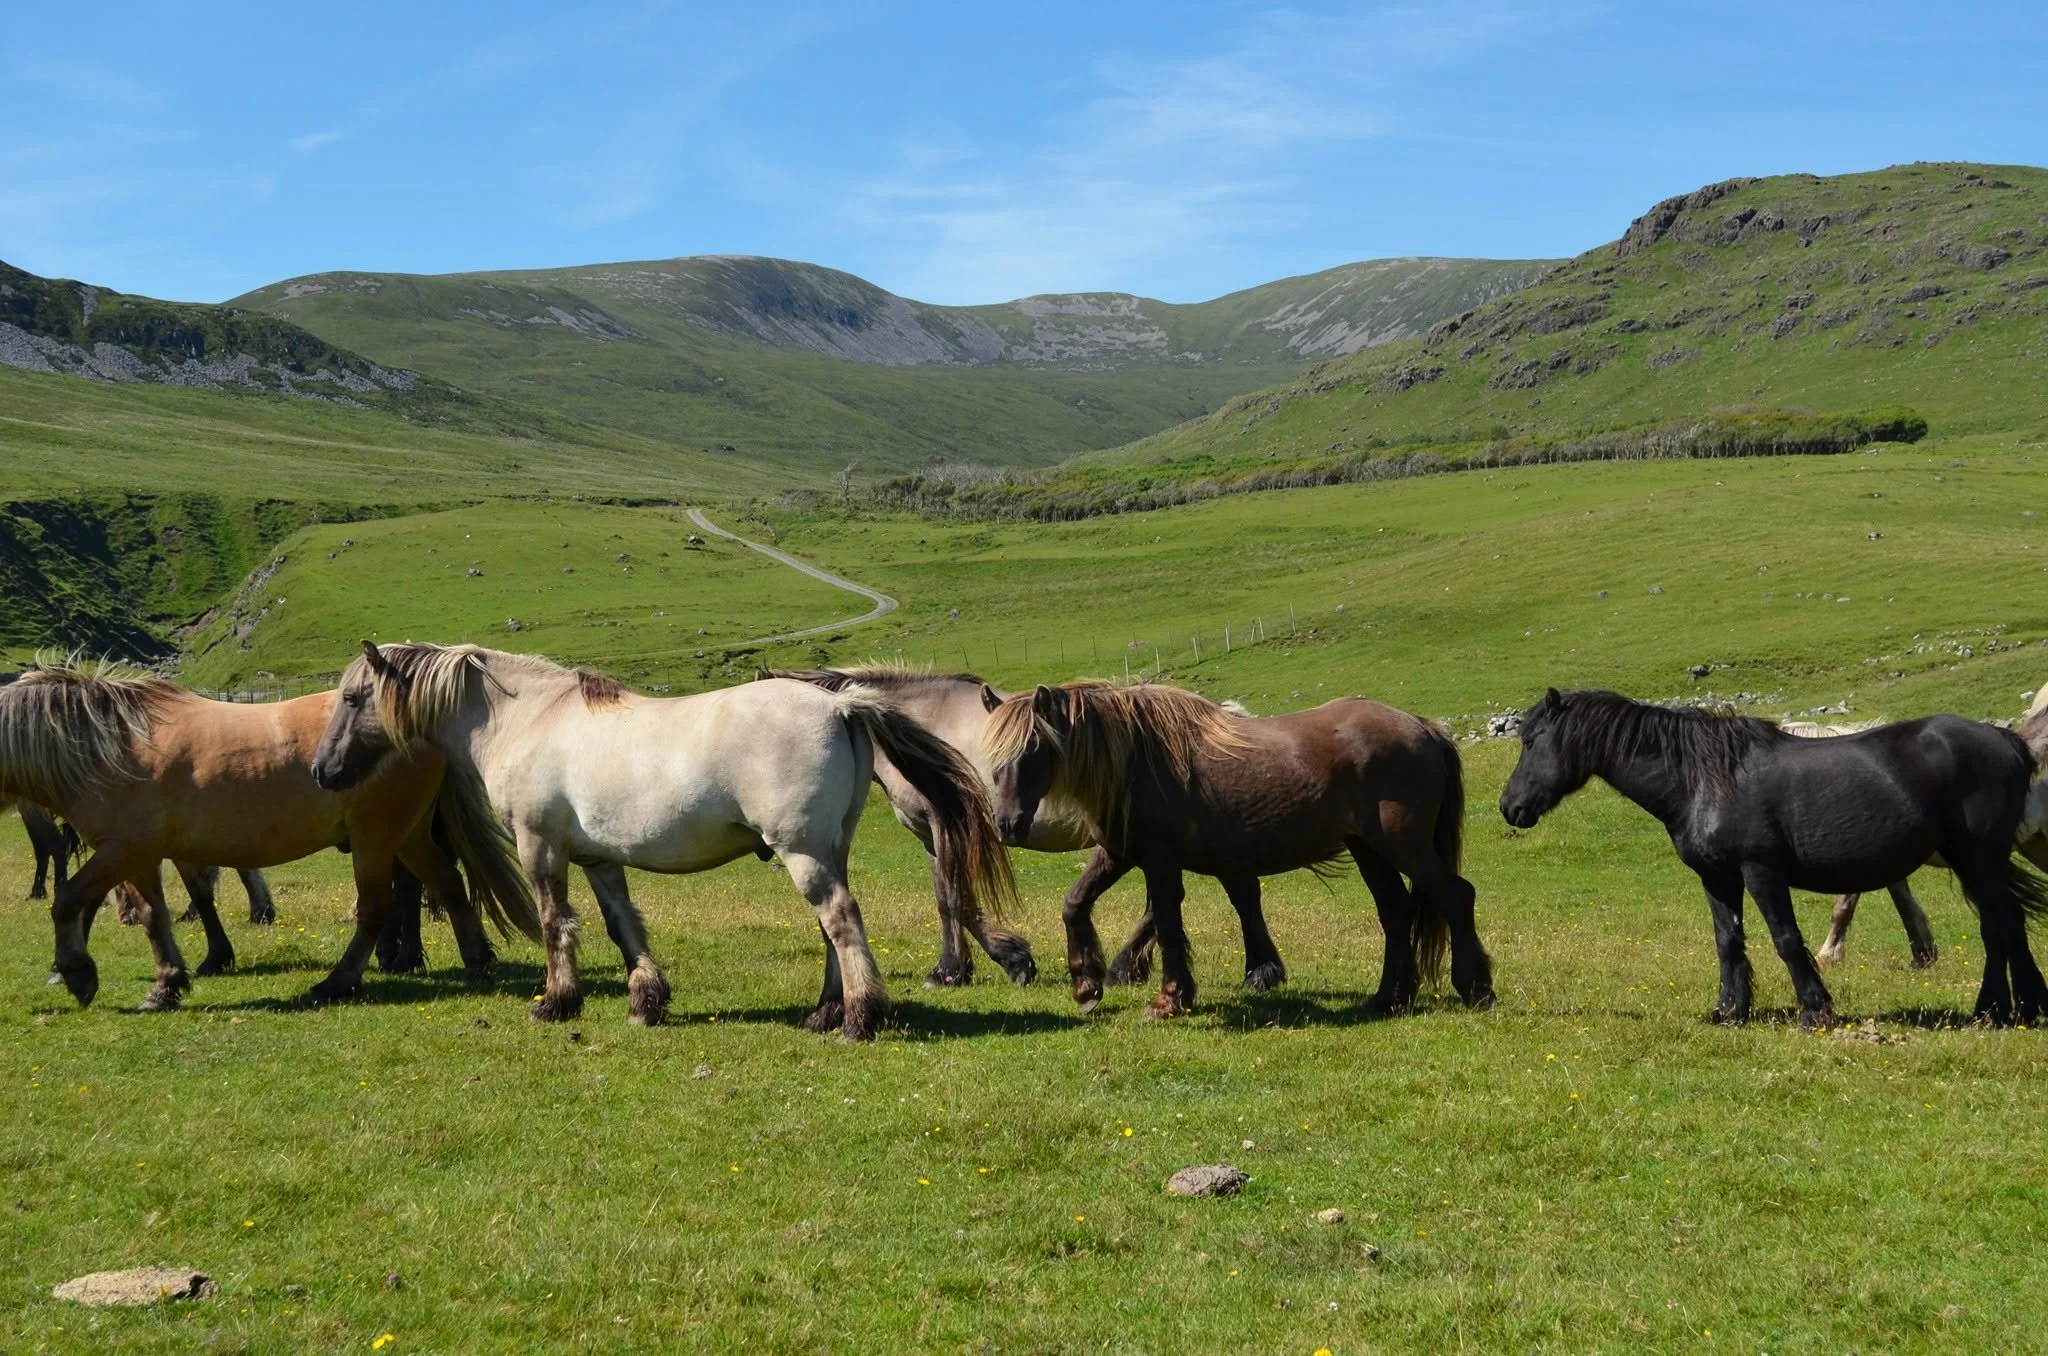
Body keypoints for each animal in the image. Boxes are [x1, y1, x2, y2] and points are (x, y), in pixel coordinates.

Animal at [0, 662, 536, 1011]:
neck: (111, 747)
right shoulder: (140, 855)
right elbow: (155, 917)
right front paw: (168, 983)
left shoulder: (123, 851)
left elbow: (68, 900)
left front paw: (76, 972)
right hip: (407, 835)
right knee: (448, 885)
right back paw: (476, 963)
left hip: (375, 839)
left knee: (377, 908)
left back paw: (339, 982)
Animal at [311, 642, 1014, 1039]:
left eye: (352, 697)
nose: (323, 771)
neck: (527, 717)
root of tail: (841, 706)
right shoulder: (599, 859)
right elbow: (623, 925)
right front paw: (646, 1001)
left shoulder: (541, 847)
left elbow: (554, 922)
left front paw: (556, 1004)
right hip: (828, 848)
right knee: (830, 930)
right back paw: (824, 1013)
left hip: (803, 851)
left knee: (840, 921)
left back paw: (860, 1019)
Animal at [982, 681, 1493, 1018]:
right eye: (992, 757)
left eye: (1034, 747)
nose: (1008, 824)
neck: (1138, 760)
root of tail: (1423, 728)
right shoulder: (1120, 853)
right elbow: (1075, 903)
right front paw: (1088, 986)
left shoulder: (1159, 860)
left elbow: (1168, 923)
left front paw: (1170, 999)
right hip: (1369, 849)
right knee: (1395, 911)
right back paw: (1390, 998)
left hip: (1402, 844)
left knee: (1456, 896)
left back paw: (1476, 988)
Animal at [1499, 688, 2048, 1027]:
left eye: (1531, 741)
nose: (1510, 807)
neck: (1702, 780)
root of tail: (2008, 741)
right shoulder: (1717, 878)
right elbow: (1727, 942)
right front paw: (1728, 1012)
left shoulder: (1761, 872)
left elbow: (1785, 939)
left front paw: (1814, 1011)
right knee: (2010, 923)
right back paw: (2024, 1008)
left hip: (1977, 859)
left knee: (1998, 926)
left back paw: (1992, 1011)